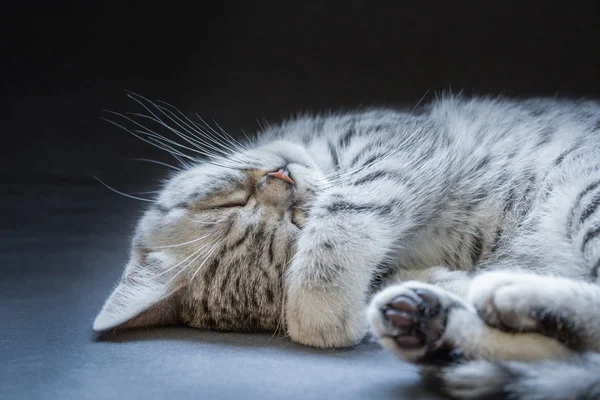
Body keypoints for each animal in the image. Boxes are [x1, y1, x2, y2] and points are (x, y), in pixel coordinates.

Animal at [92, 95, 600, 398]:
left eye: (233, 199)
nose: (282, 179)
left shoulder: (391, 147)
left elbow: (342, 214)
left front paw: (323, 308)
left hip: (583, 191)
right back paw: (433, 319)